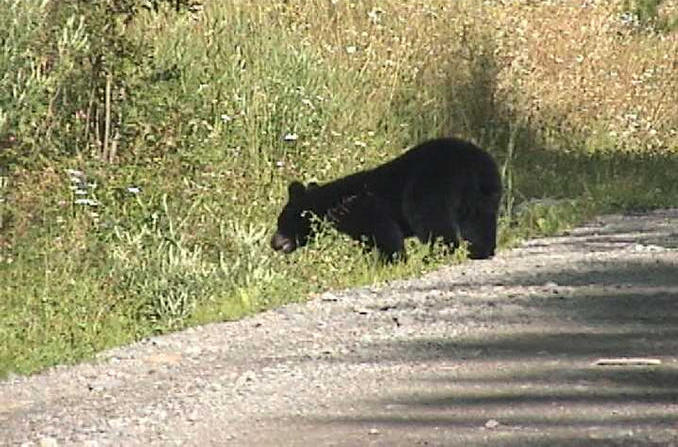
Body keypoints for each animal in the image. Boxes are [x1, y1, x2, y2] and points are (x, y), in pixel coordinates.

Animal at [272, 138, 504, 260]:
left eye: (281, 223)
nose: (273, 243)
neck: (337, 203)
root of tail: (473, 163)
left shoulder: (365, 209)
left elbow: (385, 233)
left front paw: (391, 260)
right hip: (484, 193)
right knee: (480, 222)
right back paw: (479, 251)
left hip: (432, 186)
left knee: (430, 219)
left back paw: (436, 255)